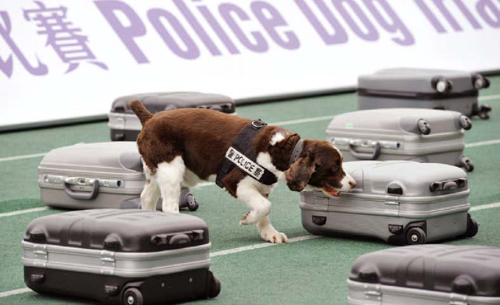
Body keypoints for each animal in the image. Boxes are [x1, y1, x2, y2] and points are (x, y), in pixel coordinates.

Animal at [129, 101, 356, 243]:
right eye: (335, 167)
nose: (353, 183)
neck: (284, 150)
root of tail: (150, 118)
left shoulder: (263, 184)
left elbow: (265, 209)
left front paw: (270, 234)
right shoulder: (236, 182)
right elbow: (264, 205)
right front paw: (248, 218)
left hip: (157, 170)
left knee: (146, 197)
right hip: (171, 167)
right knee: (168, 205)